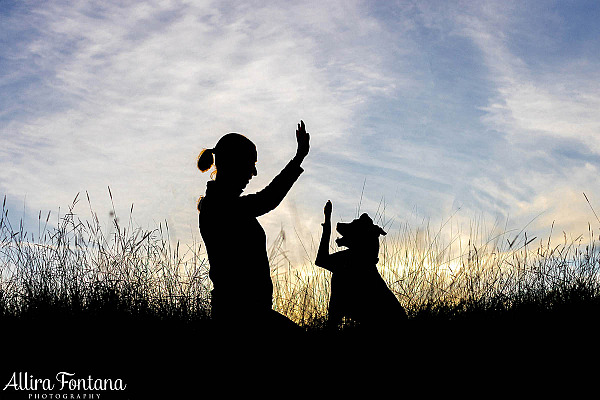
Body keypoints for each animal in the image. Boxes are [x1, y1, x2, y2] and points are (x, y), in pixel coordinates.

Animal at [314, 202, 408, 332]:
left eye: (354, 224)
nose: (338, 224)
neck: (360, 255)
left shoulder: (322, 260)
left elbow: (327, 229)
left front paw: (328, 210)